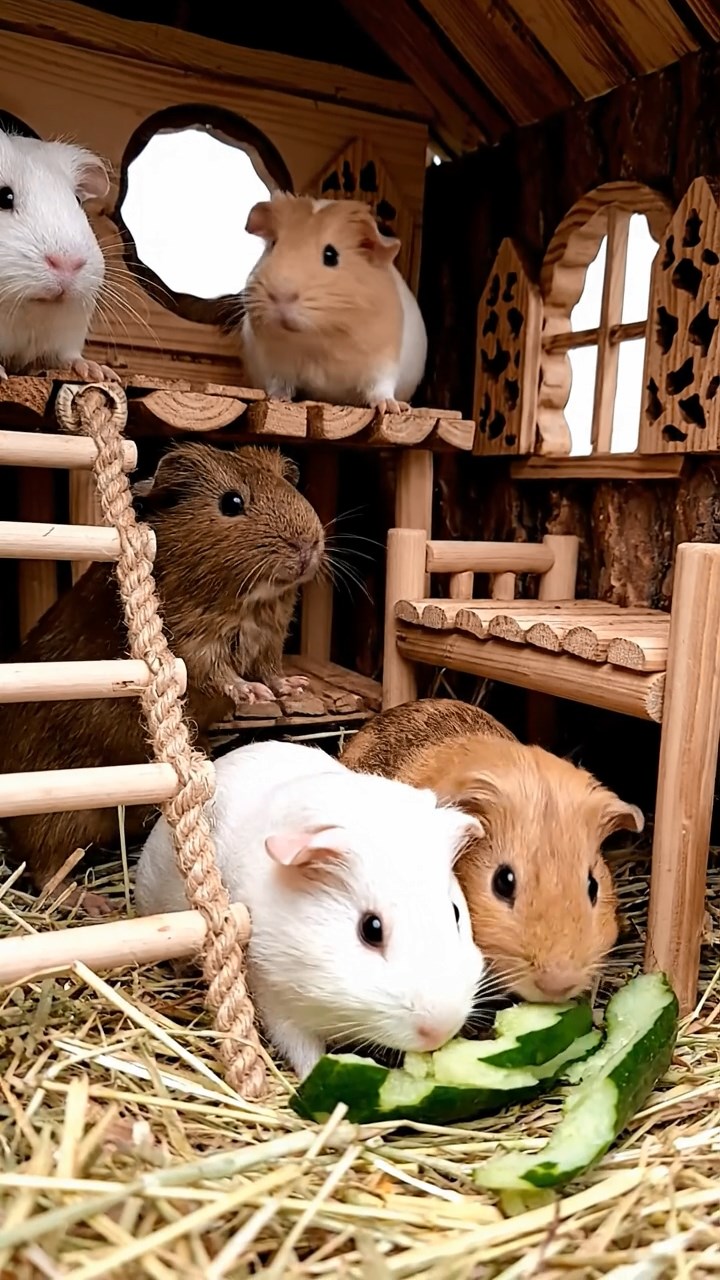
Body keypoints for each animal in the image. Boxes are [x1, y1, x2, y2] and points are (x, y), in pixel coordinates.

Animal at [240, 192, 427, 413]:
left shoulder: (384, 362)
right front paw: (278, 399)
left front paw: (391, 408)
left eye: (331, 255)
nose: (280, 295)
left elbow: (380, 388)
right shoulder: (275, 364)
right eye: (274, 245)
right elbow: (279, 384)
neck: (317, 341)